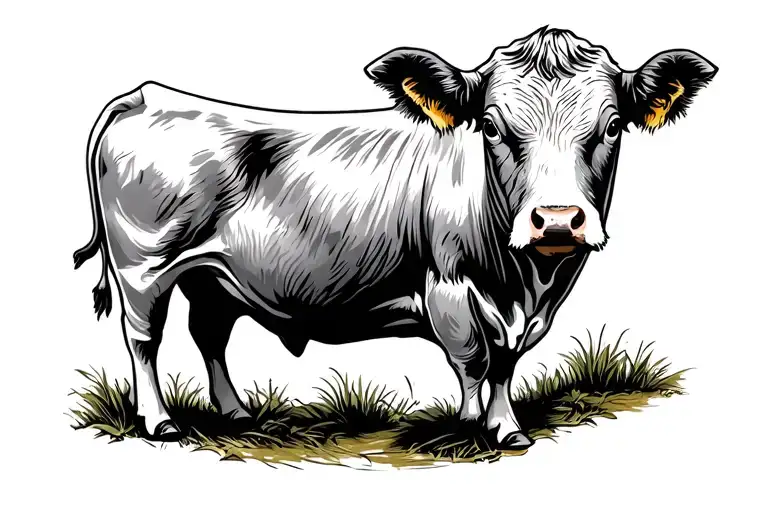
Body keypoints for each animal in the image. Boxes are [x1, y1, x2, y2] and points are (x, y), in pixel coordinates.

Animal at [74, 27, 716, 447]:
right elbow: (474, 359)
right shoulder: (448, 287)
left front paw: (506, 428)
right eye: (491, 126)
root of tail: (148, 95)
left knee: (208, 334)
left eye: (613, 126)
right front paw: (469, 426)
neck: (527, 283)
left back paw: (235, 415)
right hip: (144, 266)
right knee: (144, 340)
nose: (557, 220)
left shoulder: (524, 310)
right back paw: (160, 422)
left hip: (213, 276)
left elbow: (506, 362)